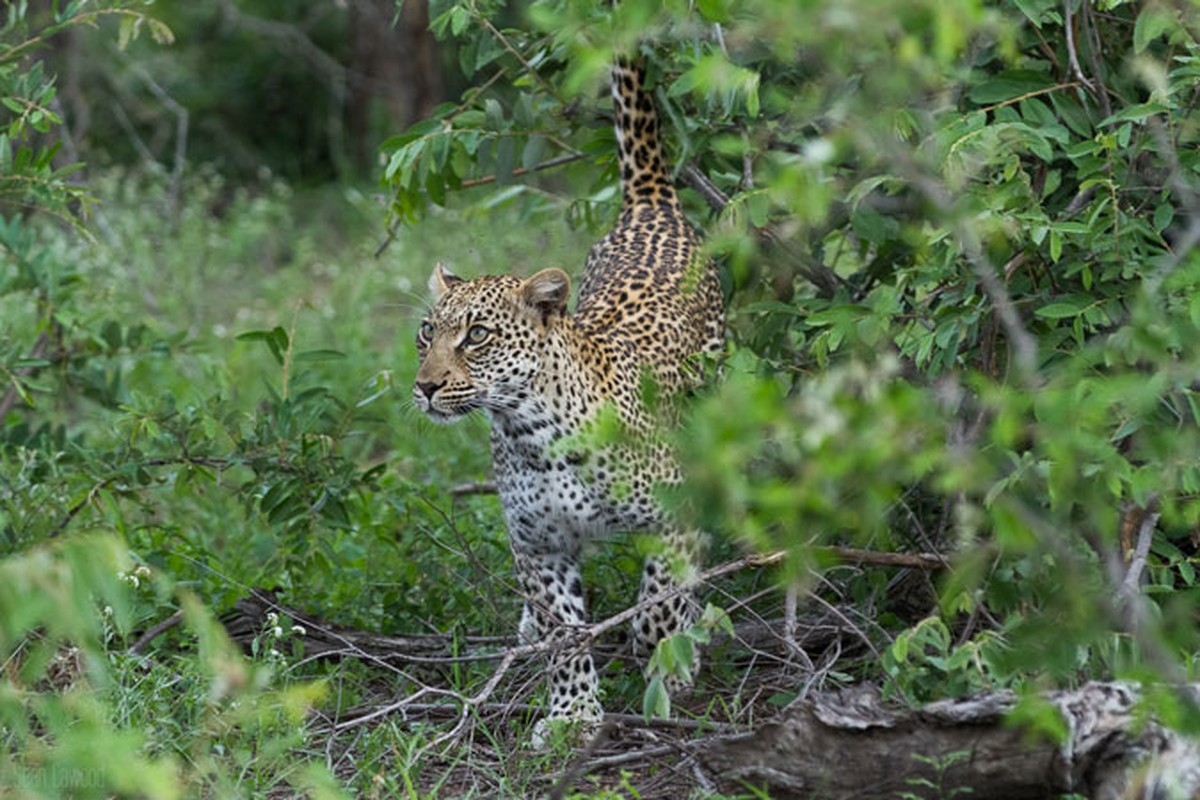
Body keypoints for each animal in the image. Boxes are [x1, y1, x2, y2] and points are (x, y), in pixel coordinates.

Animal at [412, 61, 720, 738]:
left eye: (477, 335)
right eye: (427, 332)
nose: (425, 385)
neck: (533, 433)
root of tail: (650, 208)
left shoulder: (673, 511)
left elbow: (659, 604)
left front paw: (664, 661)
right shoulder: (539, 546)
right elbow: (564, 632)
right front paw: (572, 714)